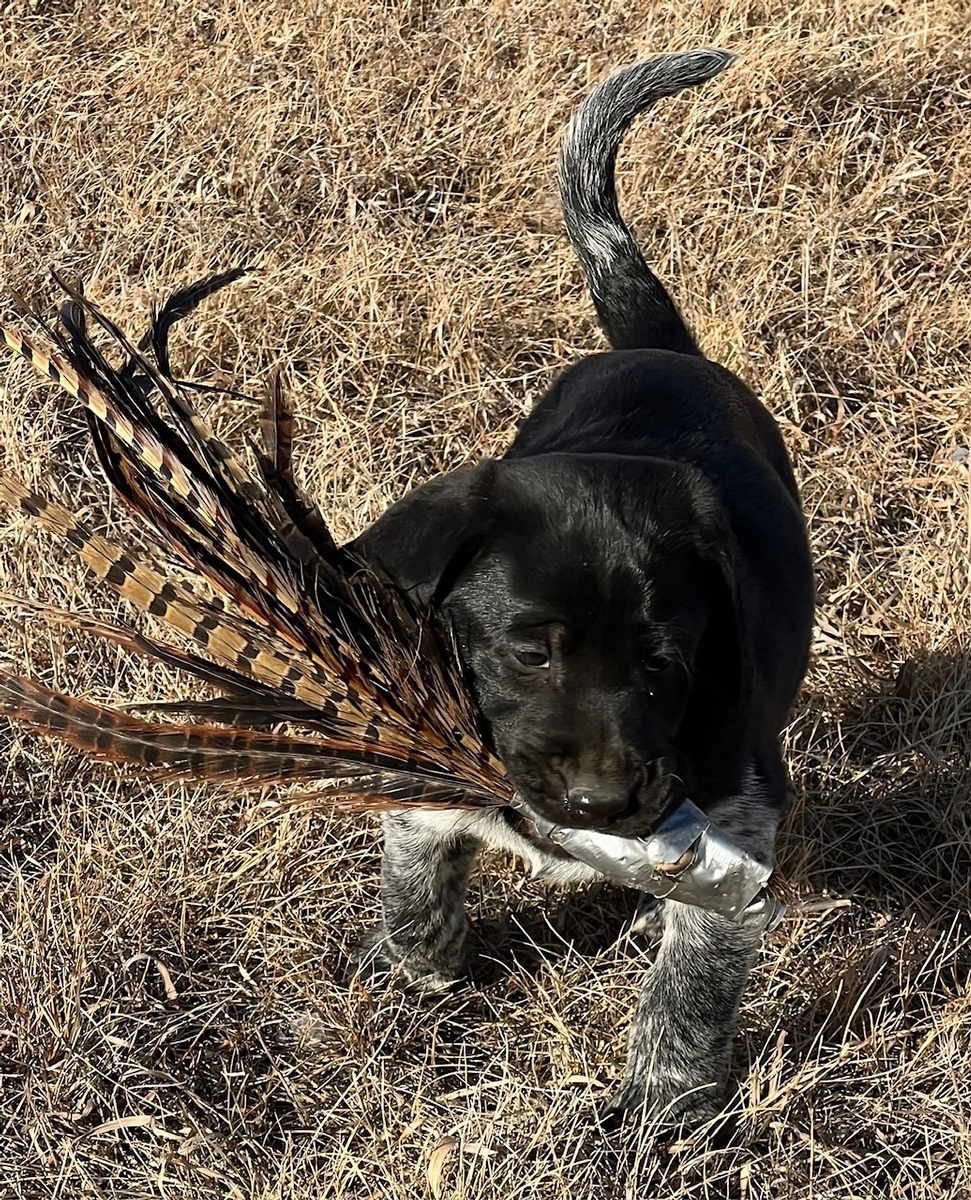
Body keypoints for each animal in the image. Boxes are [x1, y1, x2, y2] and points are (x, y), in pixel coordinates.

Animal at [351, 49, 815, 1128]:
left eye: (665, 664)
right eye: (529, 652)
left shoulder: (737, 826)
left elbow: (689, 986)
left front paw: (659, 1115)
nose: (601, 801)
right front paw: (418, 971)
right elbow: (415, 875)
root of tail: (660, 349)